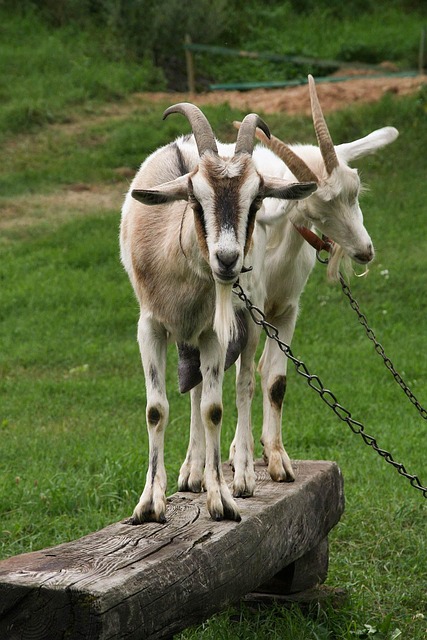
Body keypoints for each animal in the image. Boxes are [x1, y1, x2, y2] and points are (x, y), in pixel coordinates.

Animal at [120, 103, 316, 523]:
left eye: (256, 201)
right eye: (195, 200)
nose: (227, 260)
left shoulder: (214, 332)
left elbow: (214, 408)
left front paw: (222, 498)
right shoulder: (151, 326)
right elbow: (157, 409)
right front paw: (150, 503)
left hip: (251, 320)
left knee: (245, 382)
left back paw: (241, 471)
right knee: (194, 391)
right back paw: (193, 472)